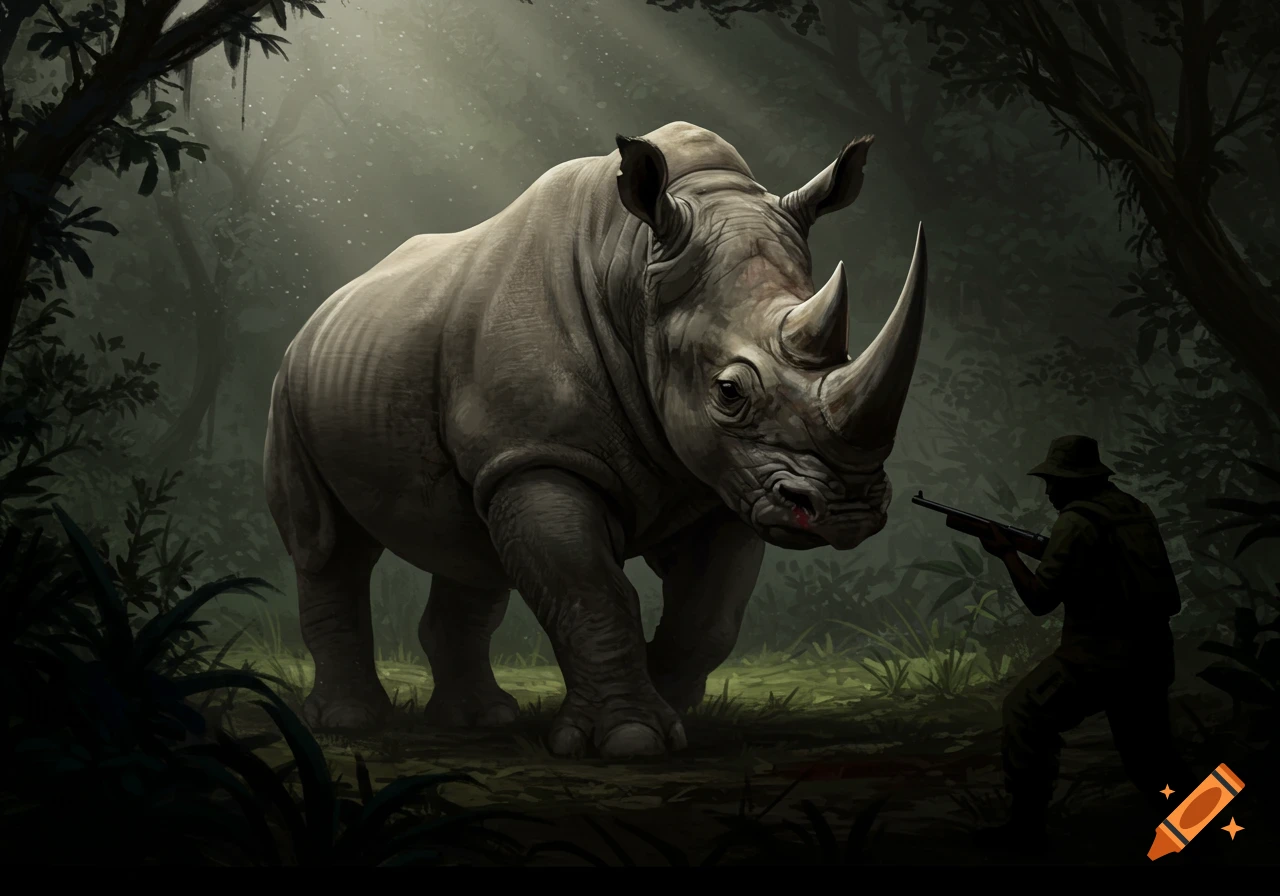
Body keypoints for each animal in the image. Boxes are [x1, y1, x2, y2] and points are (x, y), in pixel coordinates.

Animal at [264, 121, 927, 759]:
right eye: (729, 392)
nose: (848, 509)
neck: (635, 270)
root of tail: (320, 313)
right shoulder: (542, 456)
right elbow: (593, 595)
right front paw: (631, 739)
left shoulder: (726, 479)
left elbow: (710, 616)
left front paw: (668, 703)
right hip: (289, 387)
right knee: (328, 545)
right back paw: (352, 720)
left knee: (469, 549)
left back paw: (480, 720)